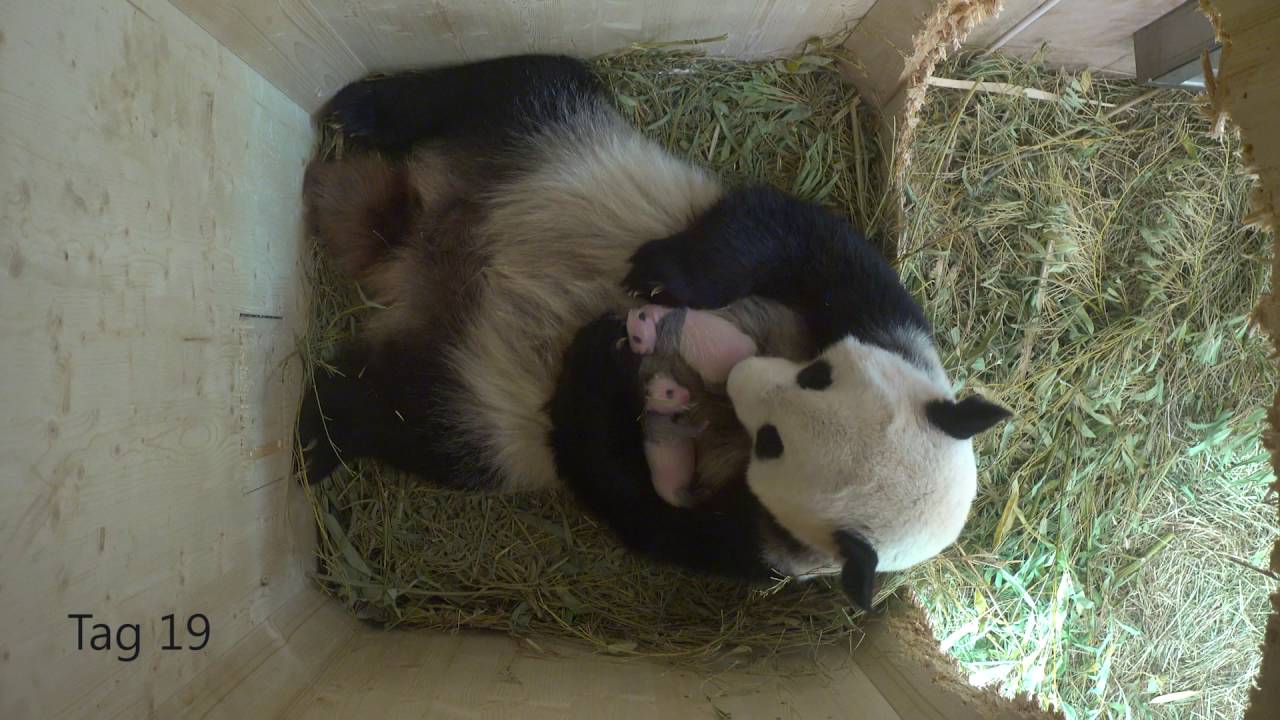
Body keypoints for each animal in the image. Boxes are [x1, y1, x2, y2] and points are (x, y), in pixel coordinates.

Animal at [298, 54, 1011, 612]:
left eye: (770, 442)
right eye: (817, 374)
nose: (740, 373)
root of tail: (419, 256)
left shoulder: (764, 550)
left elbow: (642, 509)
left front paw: (603, 364)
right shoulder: (884, 319)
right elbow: (789, 235)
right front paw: (661, 278)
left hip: (476, 402)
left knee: (413, 420)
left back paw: (321, 429)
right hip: (550, 136)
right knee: (504, 84)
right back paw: (362, 109)